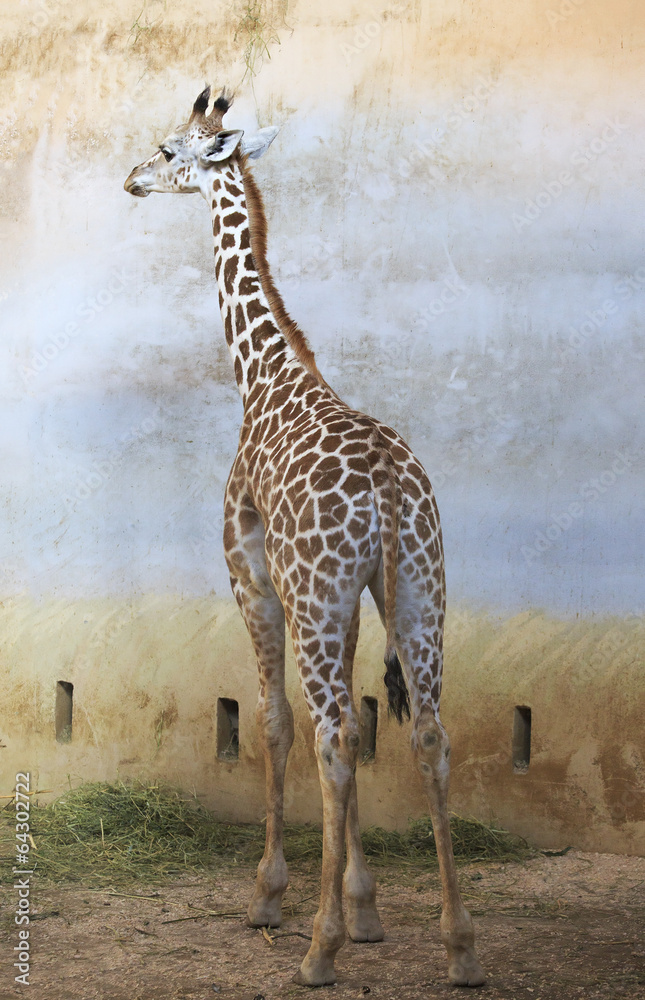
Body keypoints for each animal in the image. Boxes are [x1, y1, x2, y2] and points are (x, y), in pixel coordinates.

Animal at [124, 86, 485, 989]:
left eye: (168, 148)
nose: (131, 178)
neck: (264, 376)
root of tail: (389, 492)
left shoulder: (251, 572)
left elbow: (274, 721)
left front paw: (275, 897)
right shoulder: (348, 594)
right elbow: (361, 721)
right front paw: (365, 908)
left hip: (324, 598)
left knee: (327, 734)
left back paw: (316, 951)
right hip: (420, 588)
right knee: (425, 733)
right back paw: (459, 946)